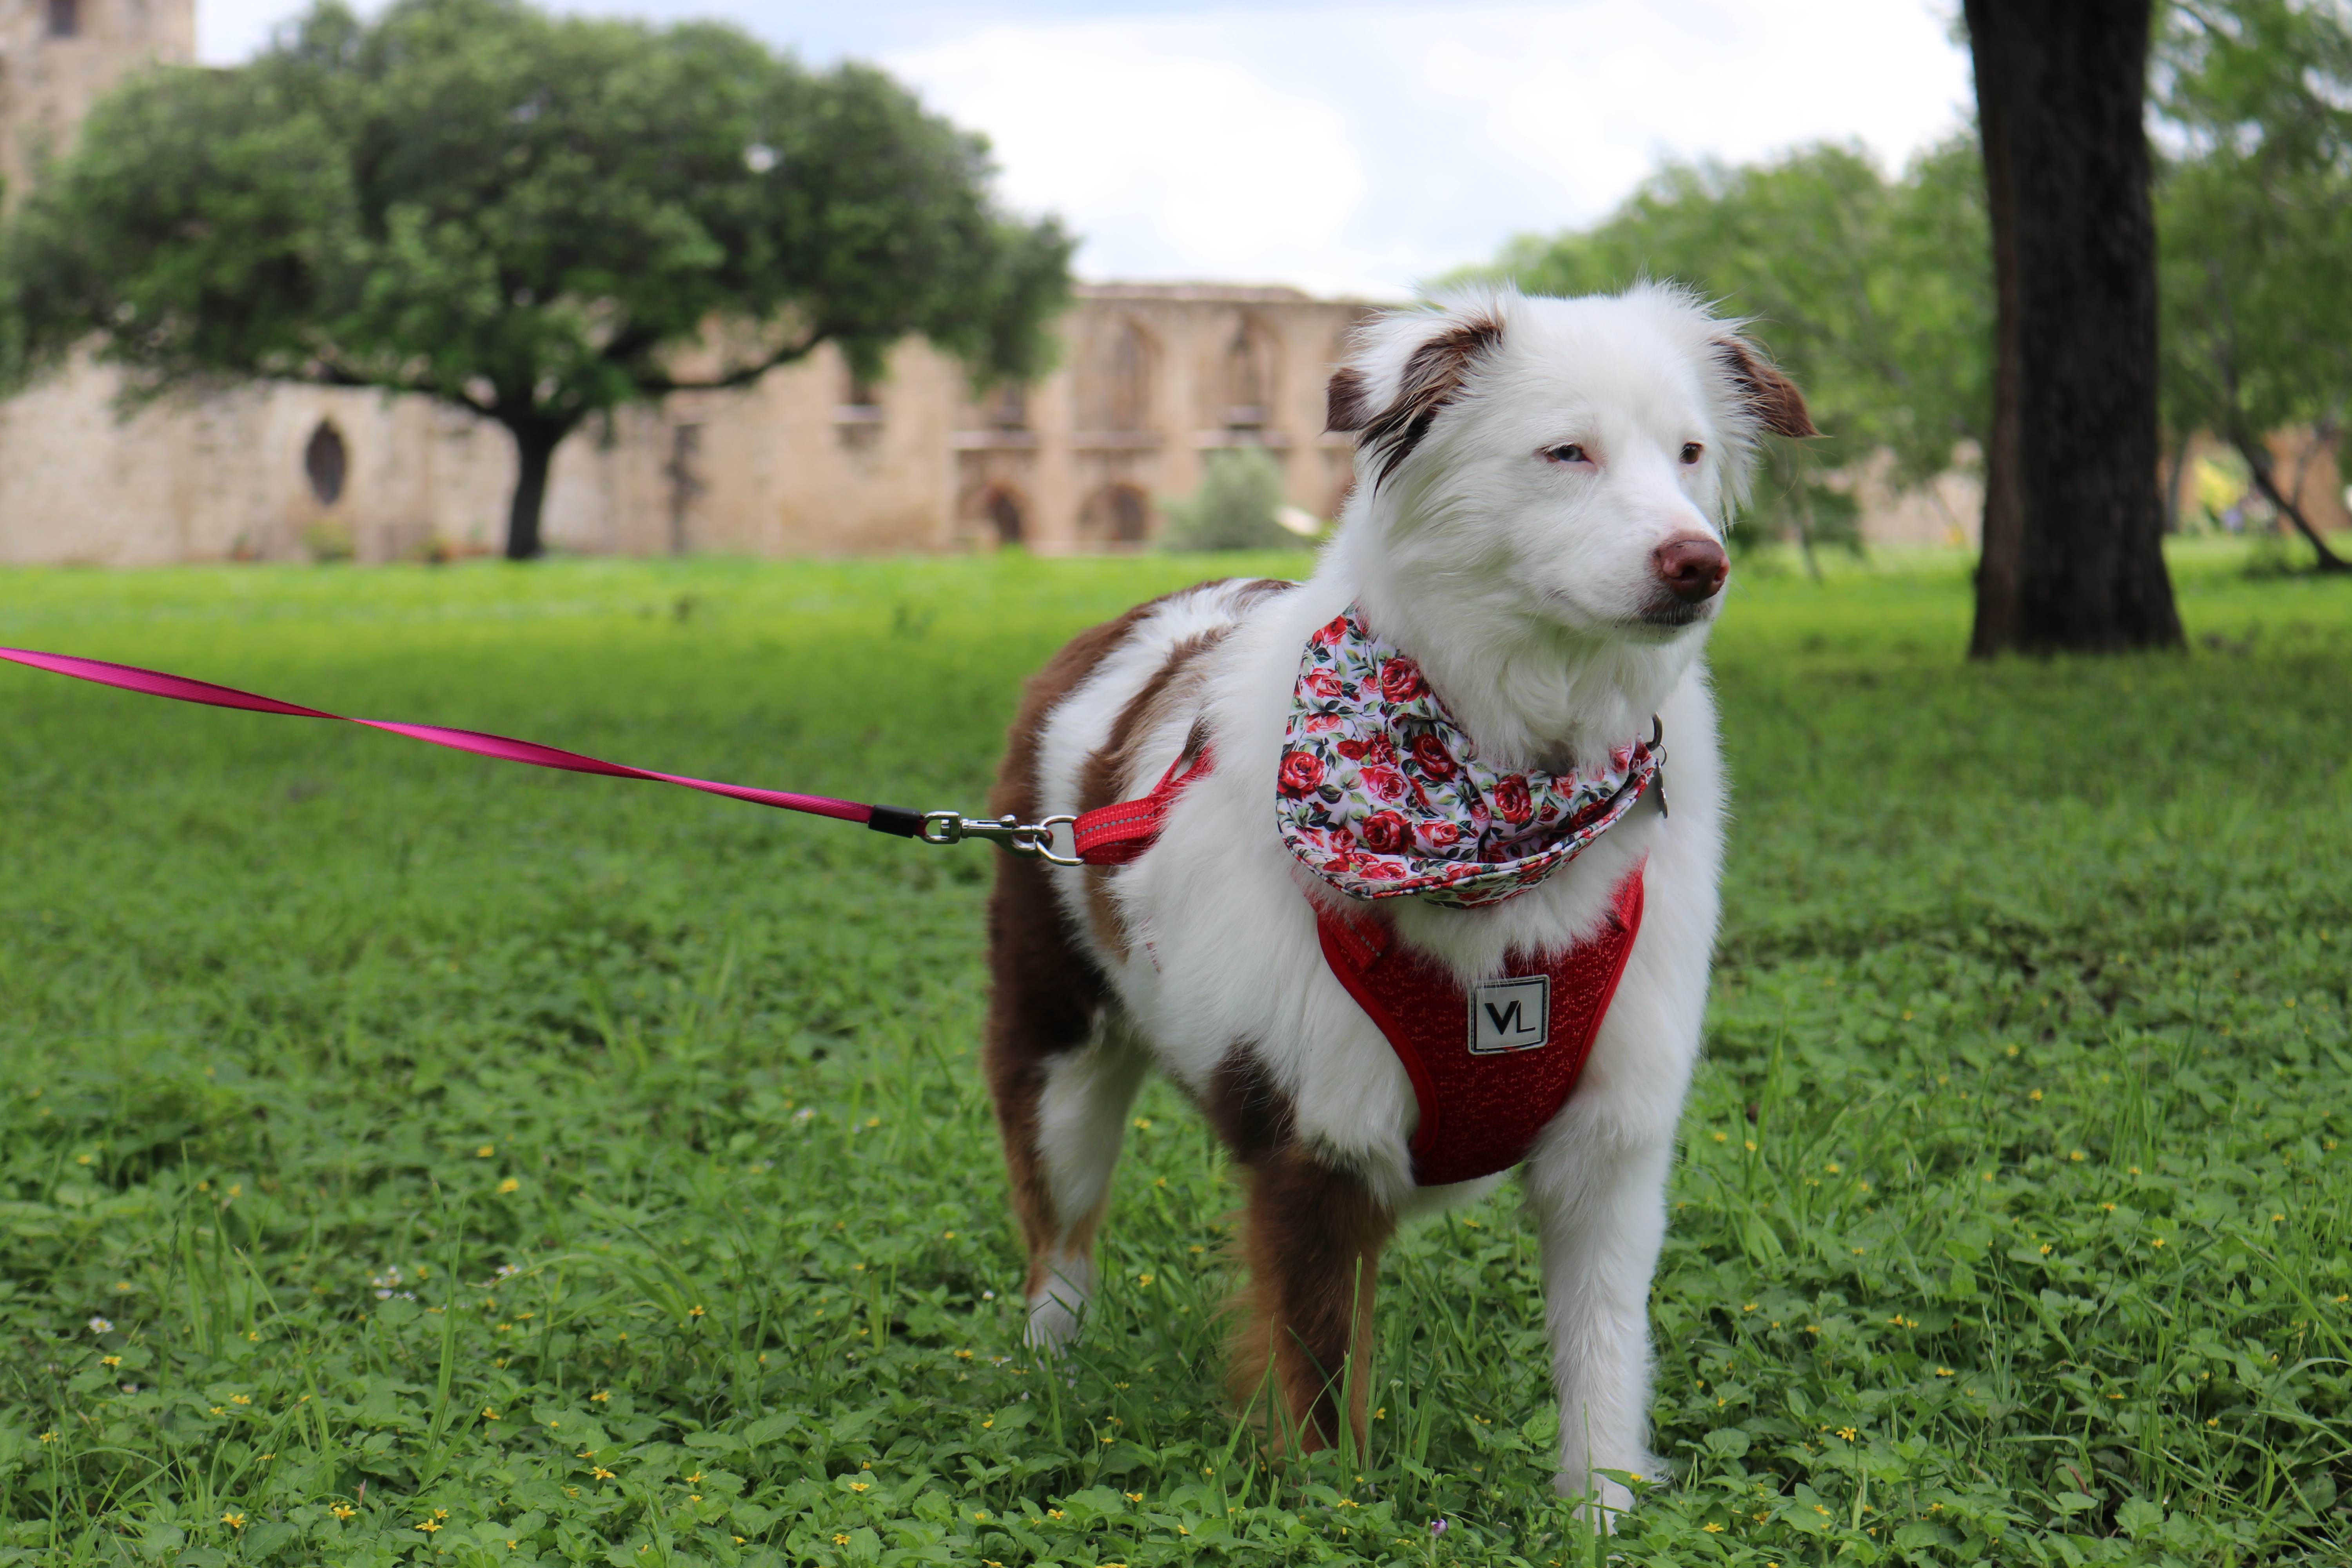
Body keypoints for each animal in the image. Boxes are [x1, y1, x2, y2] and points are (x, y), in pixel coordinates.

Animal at [983, 288, 1806, 1514]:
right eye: (1567, 452)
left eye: (1692, 454)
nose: (1698, 563)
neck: (1507, 792)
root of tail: (1123, 620)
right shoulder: (1313, 1136)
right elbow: (1321, 1394)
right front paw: (1339, 1516)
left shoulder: (1615, 1142)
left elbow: (1603, 1357)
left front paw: (1601, 1514)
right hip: (1056, 1048)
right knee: (1060, 1246)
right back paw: (1052, 1389)